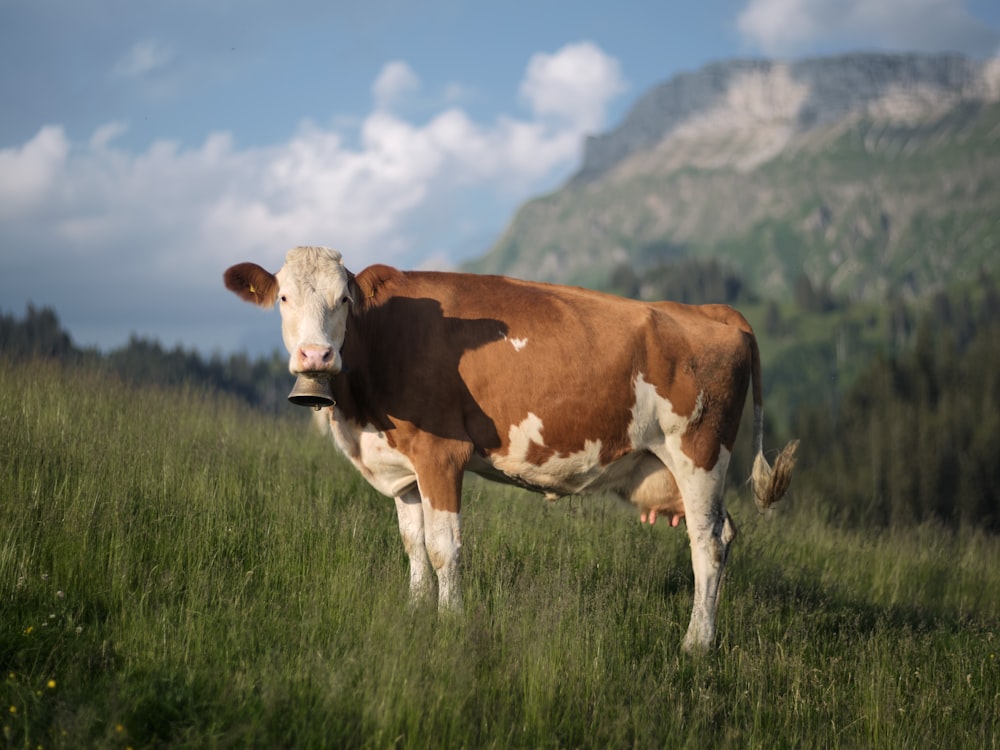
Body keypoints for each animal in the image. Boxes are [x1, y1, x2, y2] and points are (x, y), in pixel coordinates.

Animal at [227, 247, 796, 652]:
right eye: (283, 299)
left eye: (343, 299)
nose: (316, 355)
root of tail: (712, 311)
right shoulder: (404, 469)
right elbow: (413, 544)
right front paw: (415, 615)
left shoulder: (441, 453)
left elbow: (444, 547)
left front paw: (451, 623)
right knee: (722, 535)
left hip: (700, 452)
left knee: (708, 545)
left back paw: (696, 645)